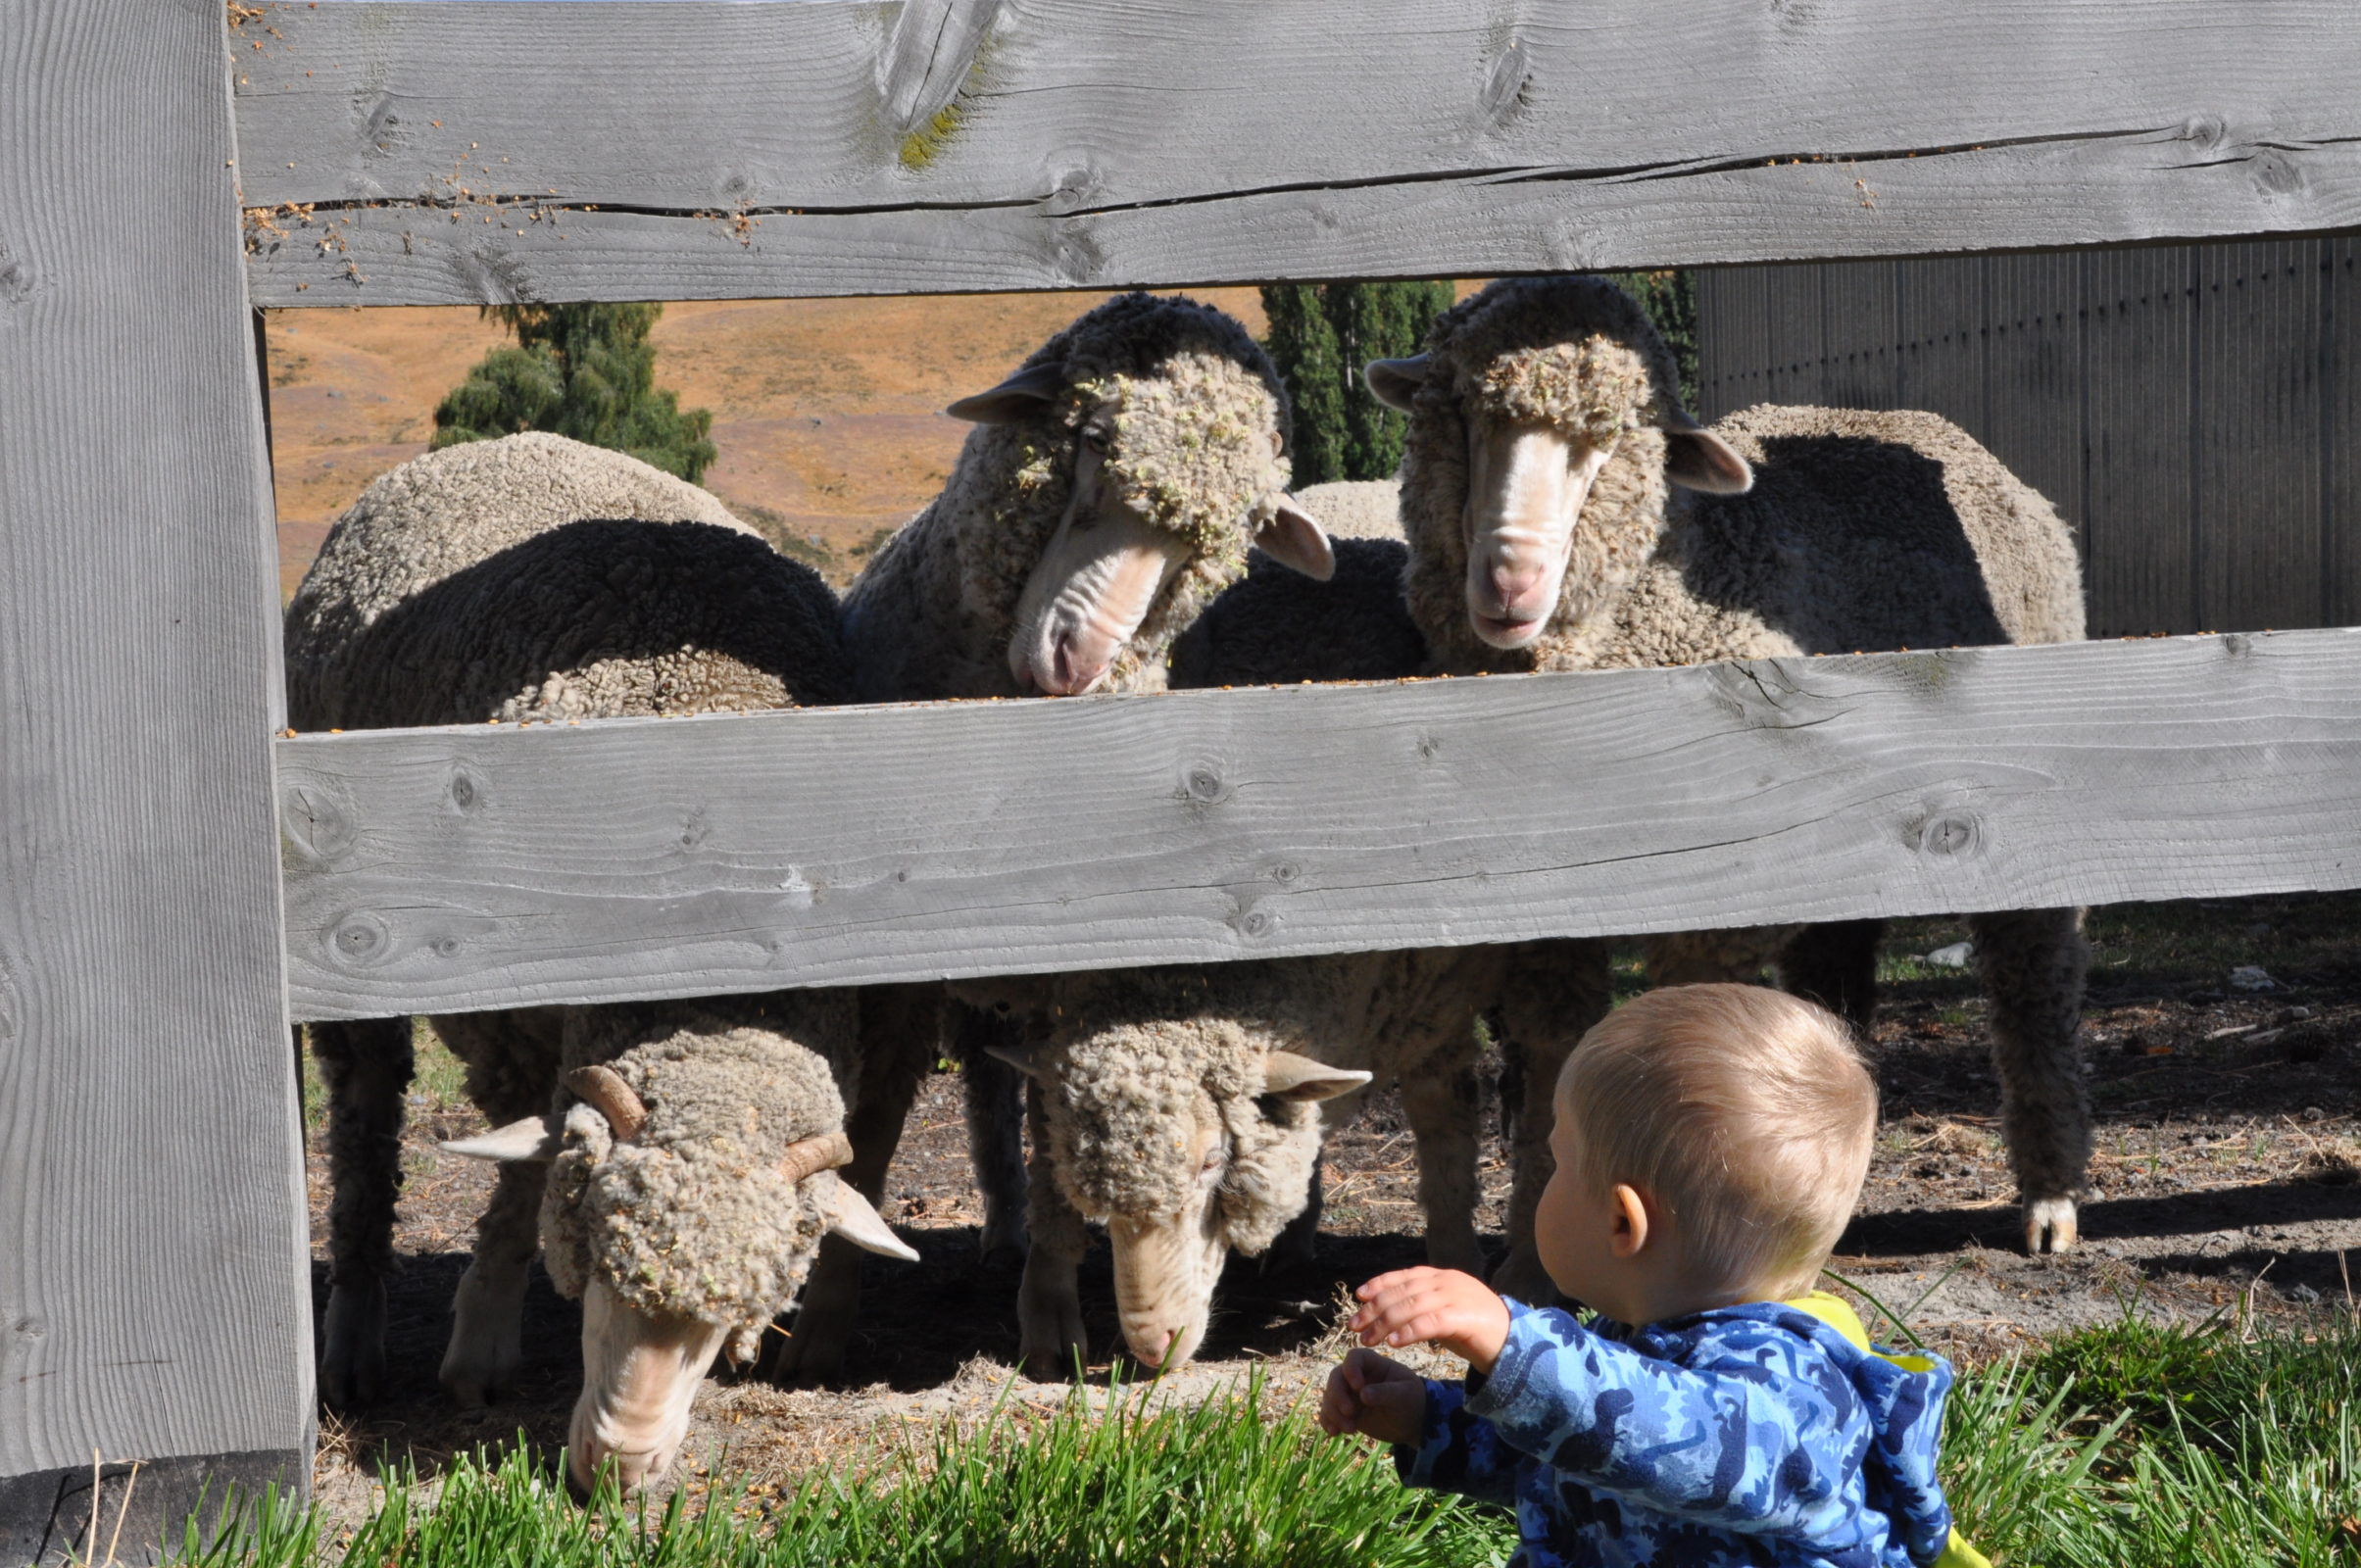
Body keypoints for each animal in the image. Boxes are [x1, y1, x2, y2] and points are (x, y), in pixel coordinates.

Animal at [285, 431, 920, 1492]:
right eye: (596, 1256)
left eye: (727, 1318)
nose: (620, 1467)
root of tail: (503, 439)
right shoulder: (520, 1019)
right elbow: (515, 1183)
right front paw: (482, 1344)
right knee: (365, 1129)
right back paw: (354, 1340)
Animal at [1378, 278, 2096, 1265]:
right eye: (1463, 411)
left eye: (1616, 437)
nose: (1509, 582)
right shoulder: (1545, 911)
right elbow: (1553, 1058)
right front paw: (1528, 1254)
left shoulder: (1704, 902)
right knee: (1837, 968)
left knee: (2034, 980)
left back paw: (2049, 1197)